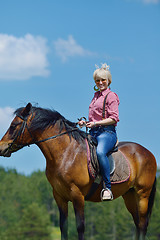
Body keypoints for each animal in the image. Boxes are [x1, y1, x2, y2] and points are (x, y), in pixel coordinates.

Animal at [0, 102, 156, 238]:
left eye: (14, 125)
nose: (1, 147)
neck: (65, 153)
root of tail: (148, 153)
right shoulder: (59, 196)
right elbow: (63, 227)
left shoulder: (77, 195)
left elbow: (80, 227)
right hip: (129, 195)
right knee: (138, 224)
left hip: (142, 194)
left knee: (142, 225)